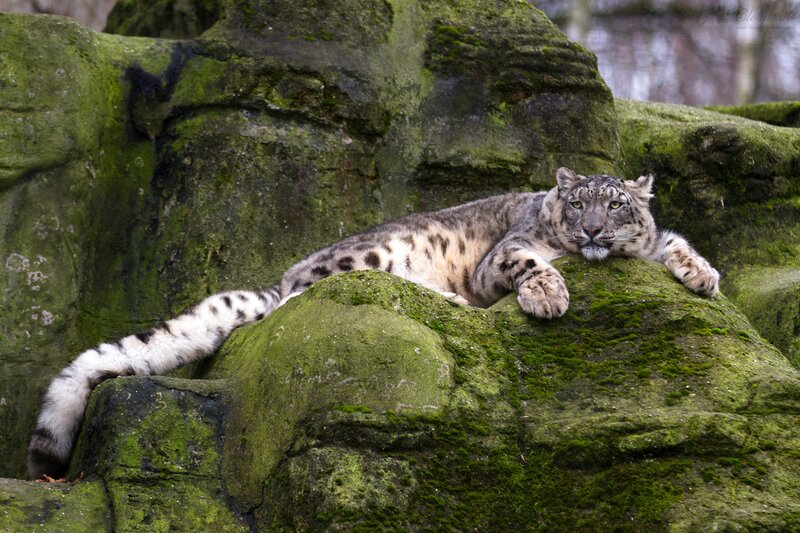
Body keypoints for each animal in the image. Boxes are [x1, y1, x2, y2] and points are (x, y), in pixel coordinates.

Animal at [27, 167, 719, 480]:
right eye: (576, 205)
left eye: (617, 205)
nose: (594, 232)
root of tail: (286, 273)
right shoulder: (503, 257)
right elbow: (527, 260)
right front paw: (549, 293)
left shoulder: (649, 243)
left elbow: (672, 241)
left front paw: (704, 275)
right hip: (368, 259)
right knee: (312, 297)